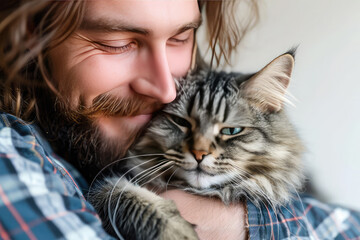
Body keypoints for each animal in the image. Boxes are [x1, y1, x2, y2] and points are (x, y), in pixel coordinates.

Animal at [88, 51, 304, 239]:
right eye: (181, 122)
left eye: (231, 131)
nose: (199, 153)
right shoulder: (102, 188)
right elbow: (126, 195)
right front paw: (178, 232)